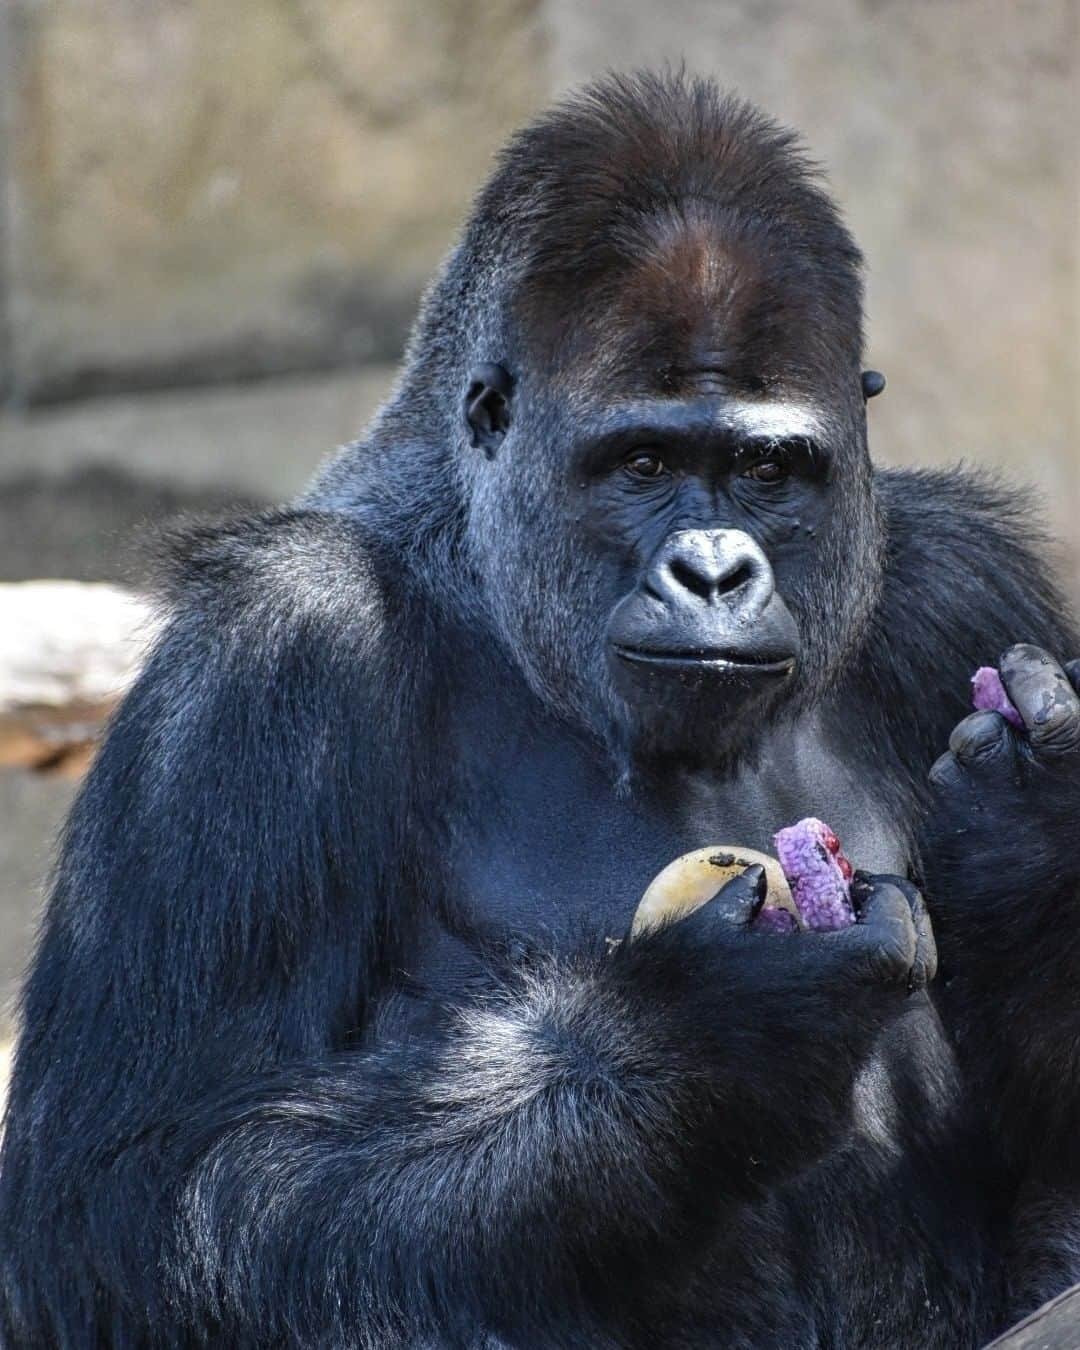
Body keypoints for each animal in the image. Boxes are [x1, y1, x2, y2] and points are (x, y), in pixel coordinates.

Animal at [2, 71, 1080, 1350]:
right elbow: (131, 1196)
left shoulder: (967, 588)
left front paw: (1034, 846)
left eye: (767, 471)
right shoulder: (264, 659)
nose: (715, 571)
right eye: (642, 463)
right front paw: (706, 1041)